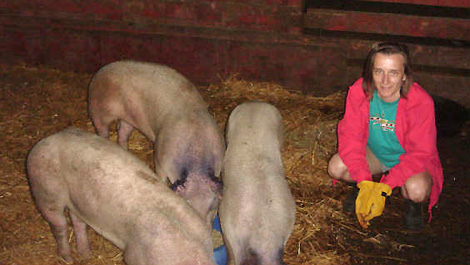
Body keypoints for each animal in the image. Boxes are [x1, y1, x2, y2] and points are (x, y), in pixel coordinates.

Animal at [26, 127, 217, 262]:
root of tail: (46, 140)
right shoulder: (134, 255)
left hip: (76, 200)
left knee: (77, 221)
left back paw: (86, 254)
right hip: (44, 189)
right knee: (59, 226)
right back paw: (68, 258)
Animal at [88, 60, 228, 227]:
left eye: (212, 208)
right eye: (188, 206)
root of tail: (102, 70)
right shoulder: (160, 158)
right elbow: (161, 176)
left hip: (129, 120)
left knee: (122, 133)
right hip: (99, 112)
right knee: (104, 131)